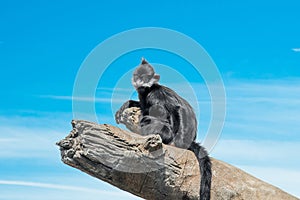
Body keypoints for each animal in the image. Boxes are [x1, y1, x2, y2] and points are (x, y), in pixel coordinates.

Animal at [115, 58, 211, 200]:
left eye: (145, 77)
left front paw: (178, 143)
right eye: (137, 76)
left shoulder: (156, 94)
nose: (139, 81)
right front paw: (127, 104)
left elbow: (176, 108)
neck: (147, 91)